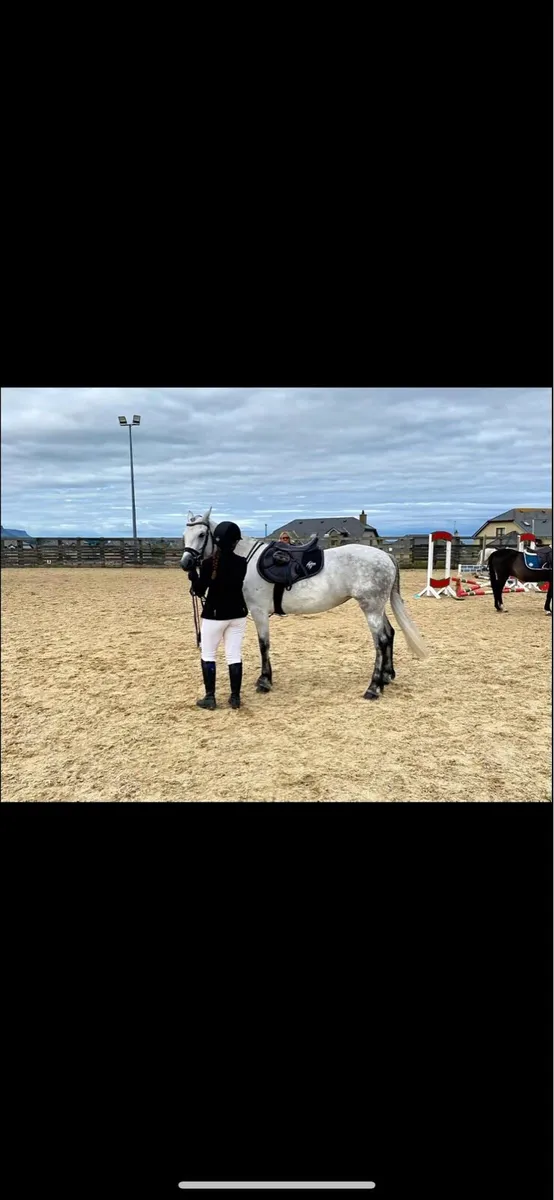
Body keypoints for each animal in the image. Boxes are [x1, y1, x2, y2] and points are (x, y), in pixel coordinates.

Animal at [181, 510, 428, 699]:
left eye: (202, 534)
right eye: (184, 534)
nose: (186, 563)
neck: (246, 560)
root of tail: (385, 556)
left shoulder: (259, 612)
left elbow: (264, 645)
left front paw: (265, 681)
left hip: (371, 607)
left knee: (381, 640)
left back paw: (374, 687)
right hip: (377, 607)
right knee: (390, 634)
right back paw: (387, 676)